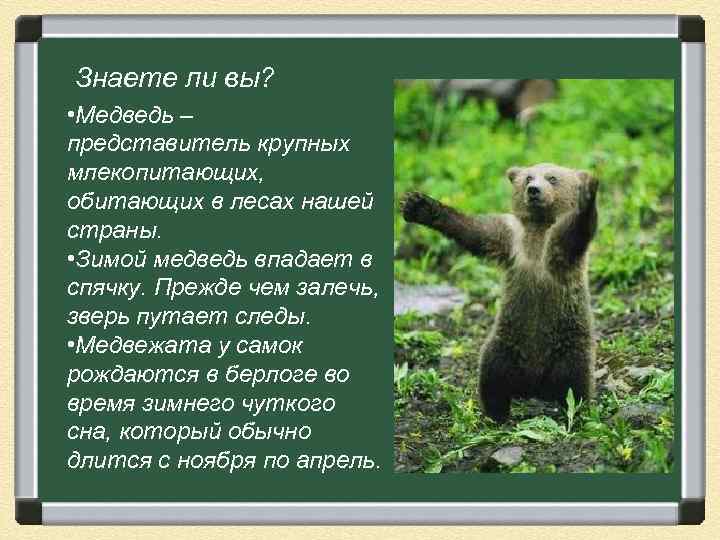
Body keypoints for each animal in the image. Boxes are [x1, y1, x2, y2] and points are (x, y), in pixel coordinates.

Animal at [401, 163, 598, 423]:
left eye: (552, 178)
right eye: (528, 177)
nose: (534, 190)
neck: (538, 230)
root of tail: (536, 386)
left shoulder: (557, 250)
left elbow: (576, 232)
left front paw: (588, 197)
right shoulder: (510, 238)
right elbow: (475, 231)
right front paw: (418, 205)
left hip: (568, 346)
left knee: (574, 386)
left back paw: (573, 413)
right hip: (506, 345)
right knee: (492, 377)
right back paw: (496, 414)